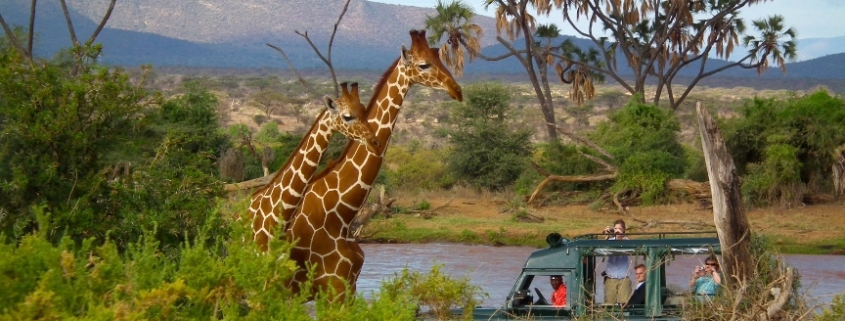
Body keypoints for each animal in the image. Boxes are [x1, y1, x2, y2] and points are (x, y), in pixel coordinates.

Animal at [286, 29, 464, 300]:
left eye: (440, 57)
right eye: (424, 64)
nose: (457, 90)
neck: (338, 215)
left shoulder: (349, 285)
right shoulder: (333, 286)